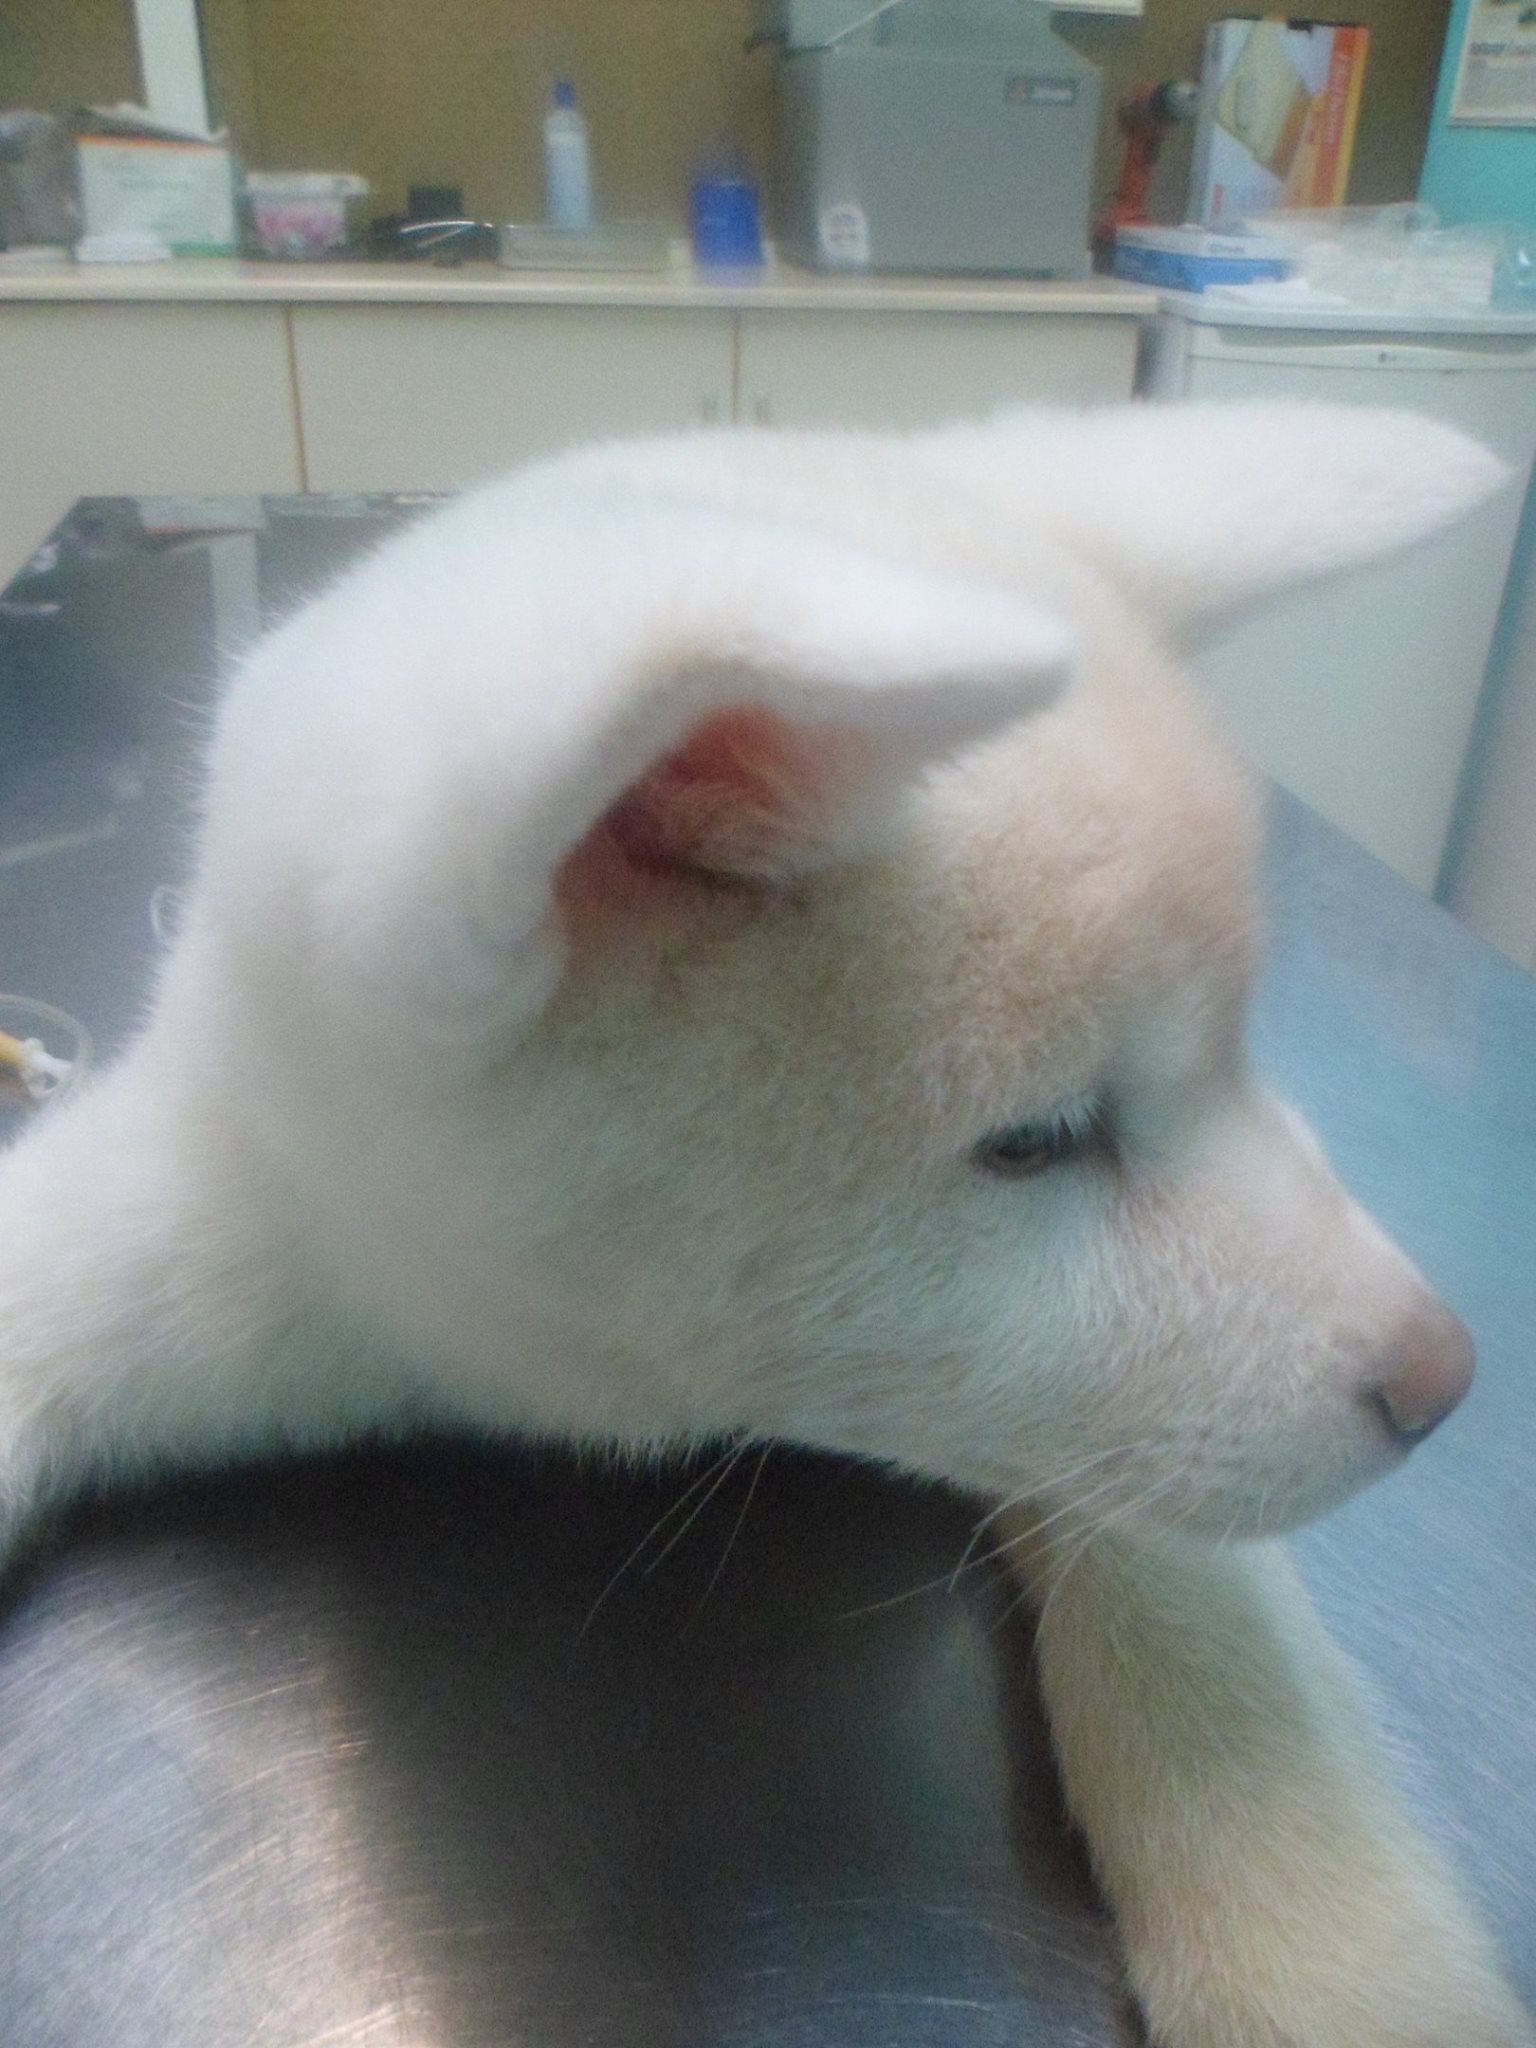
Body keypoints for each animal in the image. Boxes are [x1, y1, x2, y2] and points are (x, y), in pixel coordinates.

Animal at [0, 401, 1529, 2047]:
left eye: (1240, 1055)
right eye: (1037, 1139)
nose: (1444, 1380)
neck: (545, 1372)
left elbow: (1183, 1585)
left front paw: (1334, 1946)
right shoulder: (243, 1221)